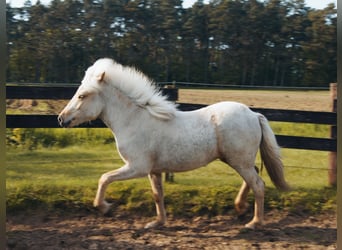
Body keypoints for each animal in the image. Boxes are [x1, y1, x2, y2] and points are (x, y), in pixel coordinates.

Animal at [58, 57, 288, 229]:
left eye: (82, 95)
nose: (61, 118)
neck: (134, 120)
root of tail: (254, 114)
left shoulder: (137, 167)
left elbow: (104, 178)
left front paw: (104, 207)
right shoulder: (153, 171)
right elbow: (157, 195)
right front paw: (157, 223)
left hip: (239, 161)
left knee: (258, 184)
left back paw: (255, 222)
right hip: (238, 160)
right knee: (254, 177)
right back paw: (240, 207)